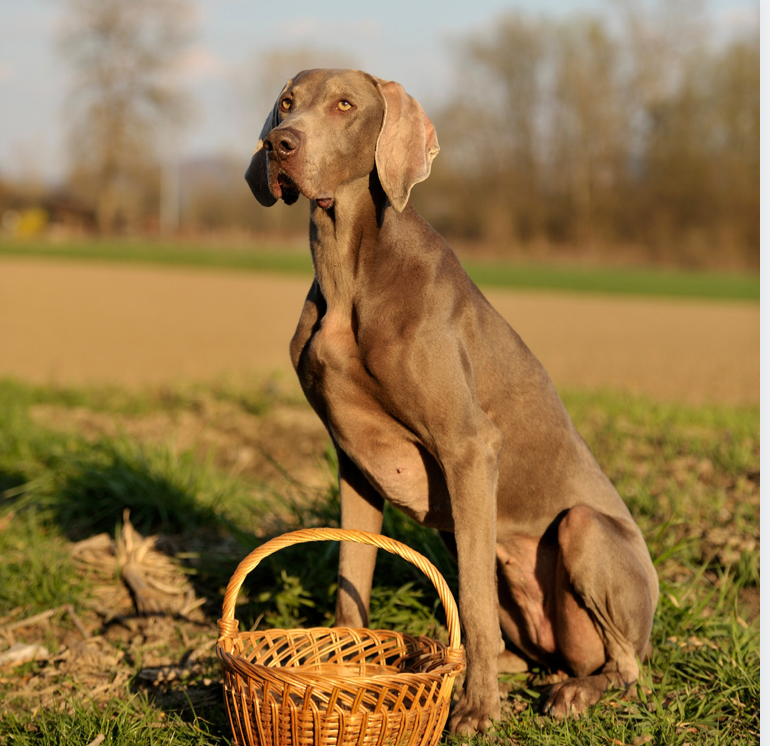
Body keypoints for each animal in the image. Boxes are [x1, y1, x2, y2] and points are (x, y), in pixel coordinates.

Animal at [244, 70, 656, 732]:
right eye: (287, 104)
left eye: (344, 105)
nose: (279, 144)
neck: (349, 268)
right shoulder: (354, 464)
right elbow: (350, 582)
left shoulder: (469, 448)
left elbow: (475, 611)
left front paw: (478, 711)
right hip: (478, 554)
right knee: (532, 650)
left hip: (583, 531)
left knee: (625, 668)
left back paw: (571, 693)